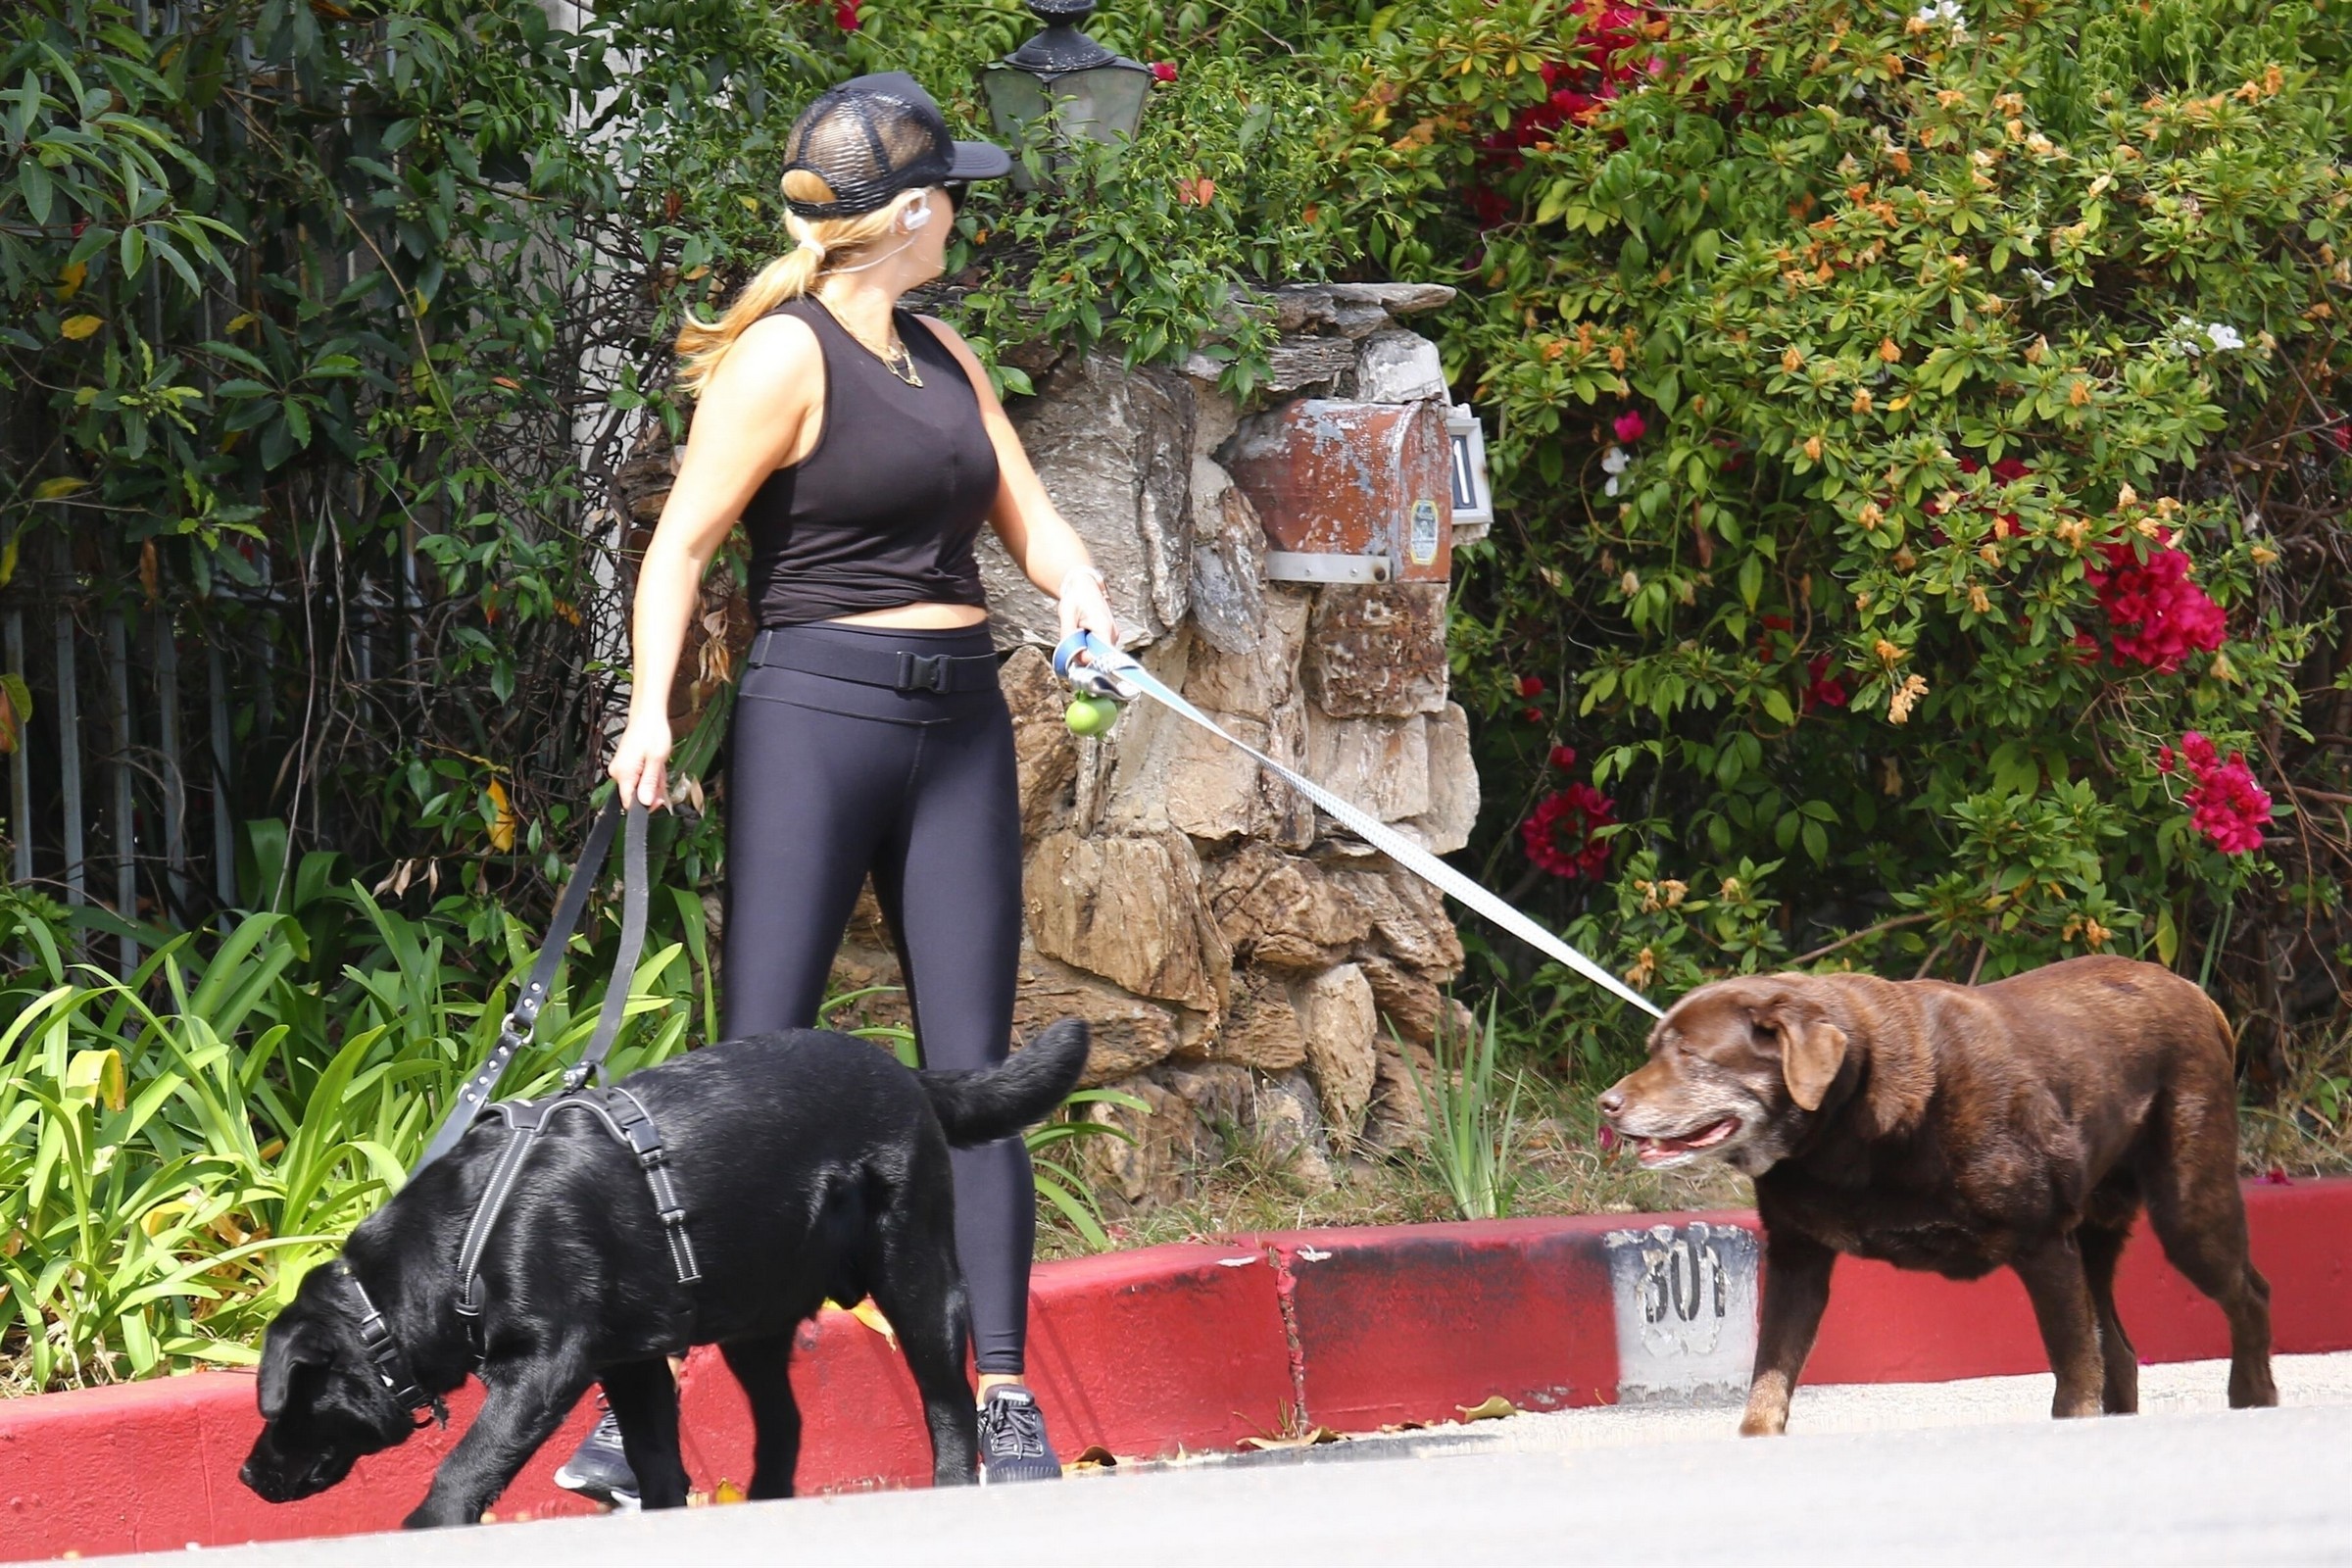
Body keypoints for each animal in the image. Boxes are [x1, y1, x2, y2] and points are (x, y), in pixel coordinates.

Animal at [240, 1021, 1089, 1526]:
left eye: (285, 1402)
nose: (249, 1476)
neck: (452, 1251)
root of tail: (907, 1070)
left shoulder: (544, 1369)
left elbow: (464, 1468)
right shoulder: (632, 1363)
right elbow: (655, 1464)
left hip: (916, 1279)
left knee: (945, 1403)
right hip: (755, 1316)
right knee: (784, 1422)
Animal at [1597, 957, 2275, 1434]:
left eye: (1690, 1054)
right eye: (1654, 1050)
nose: (1606, 1102)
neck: (1847, 1123)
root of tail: (2196, 994)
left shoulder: (2043, 1244)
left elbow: (2072, 1373)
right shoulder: (1796, 1258)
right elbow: (1769, 1379)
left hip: (2187, 1208)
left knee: (2247, 1294)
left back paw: (2253, 1396)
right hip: (2098, 1231)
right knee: (2123, 1349)